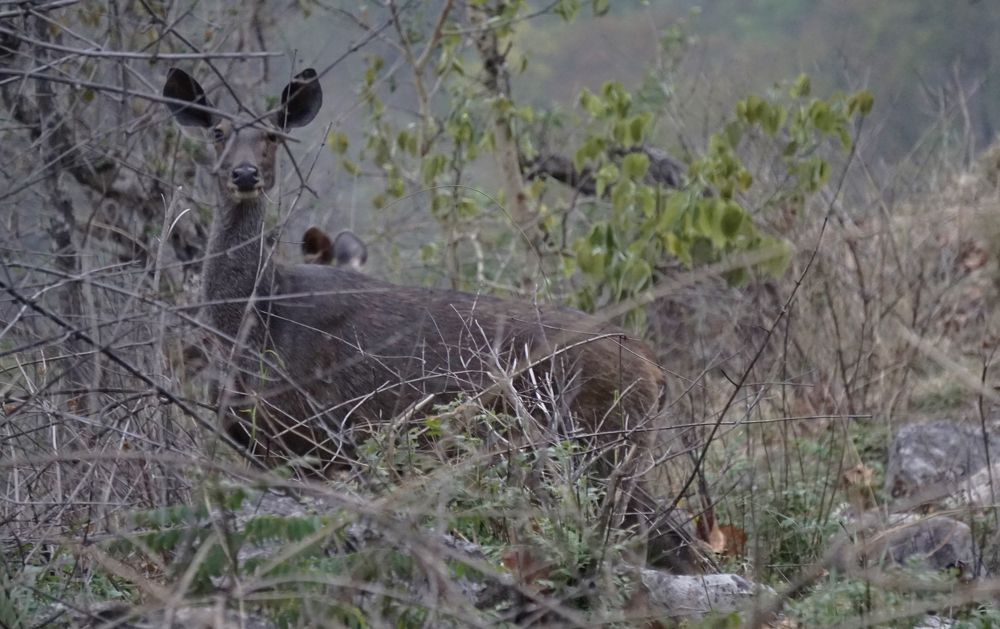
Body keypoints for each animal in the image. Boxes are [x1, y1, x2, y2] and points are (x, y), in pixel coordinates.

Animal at [162, 67, 702, 572]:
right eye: (217, 132)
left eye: (273, 136)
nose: (245, 174)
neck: (256, 320)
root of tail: (654, 370)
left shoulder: (318, 434)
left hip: (598, 442)